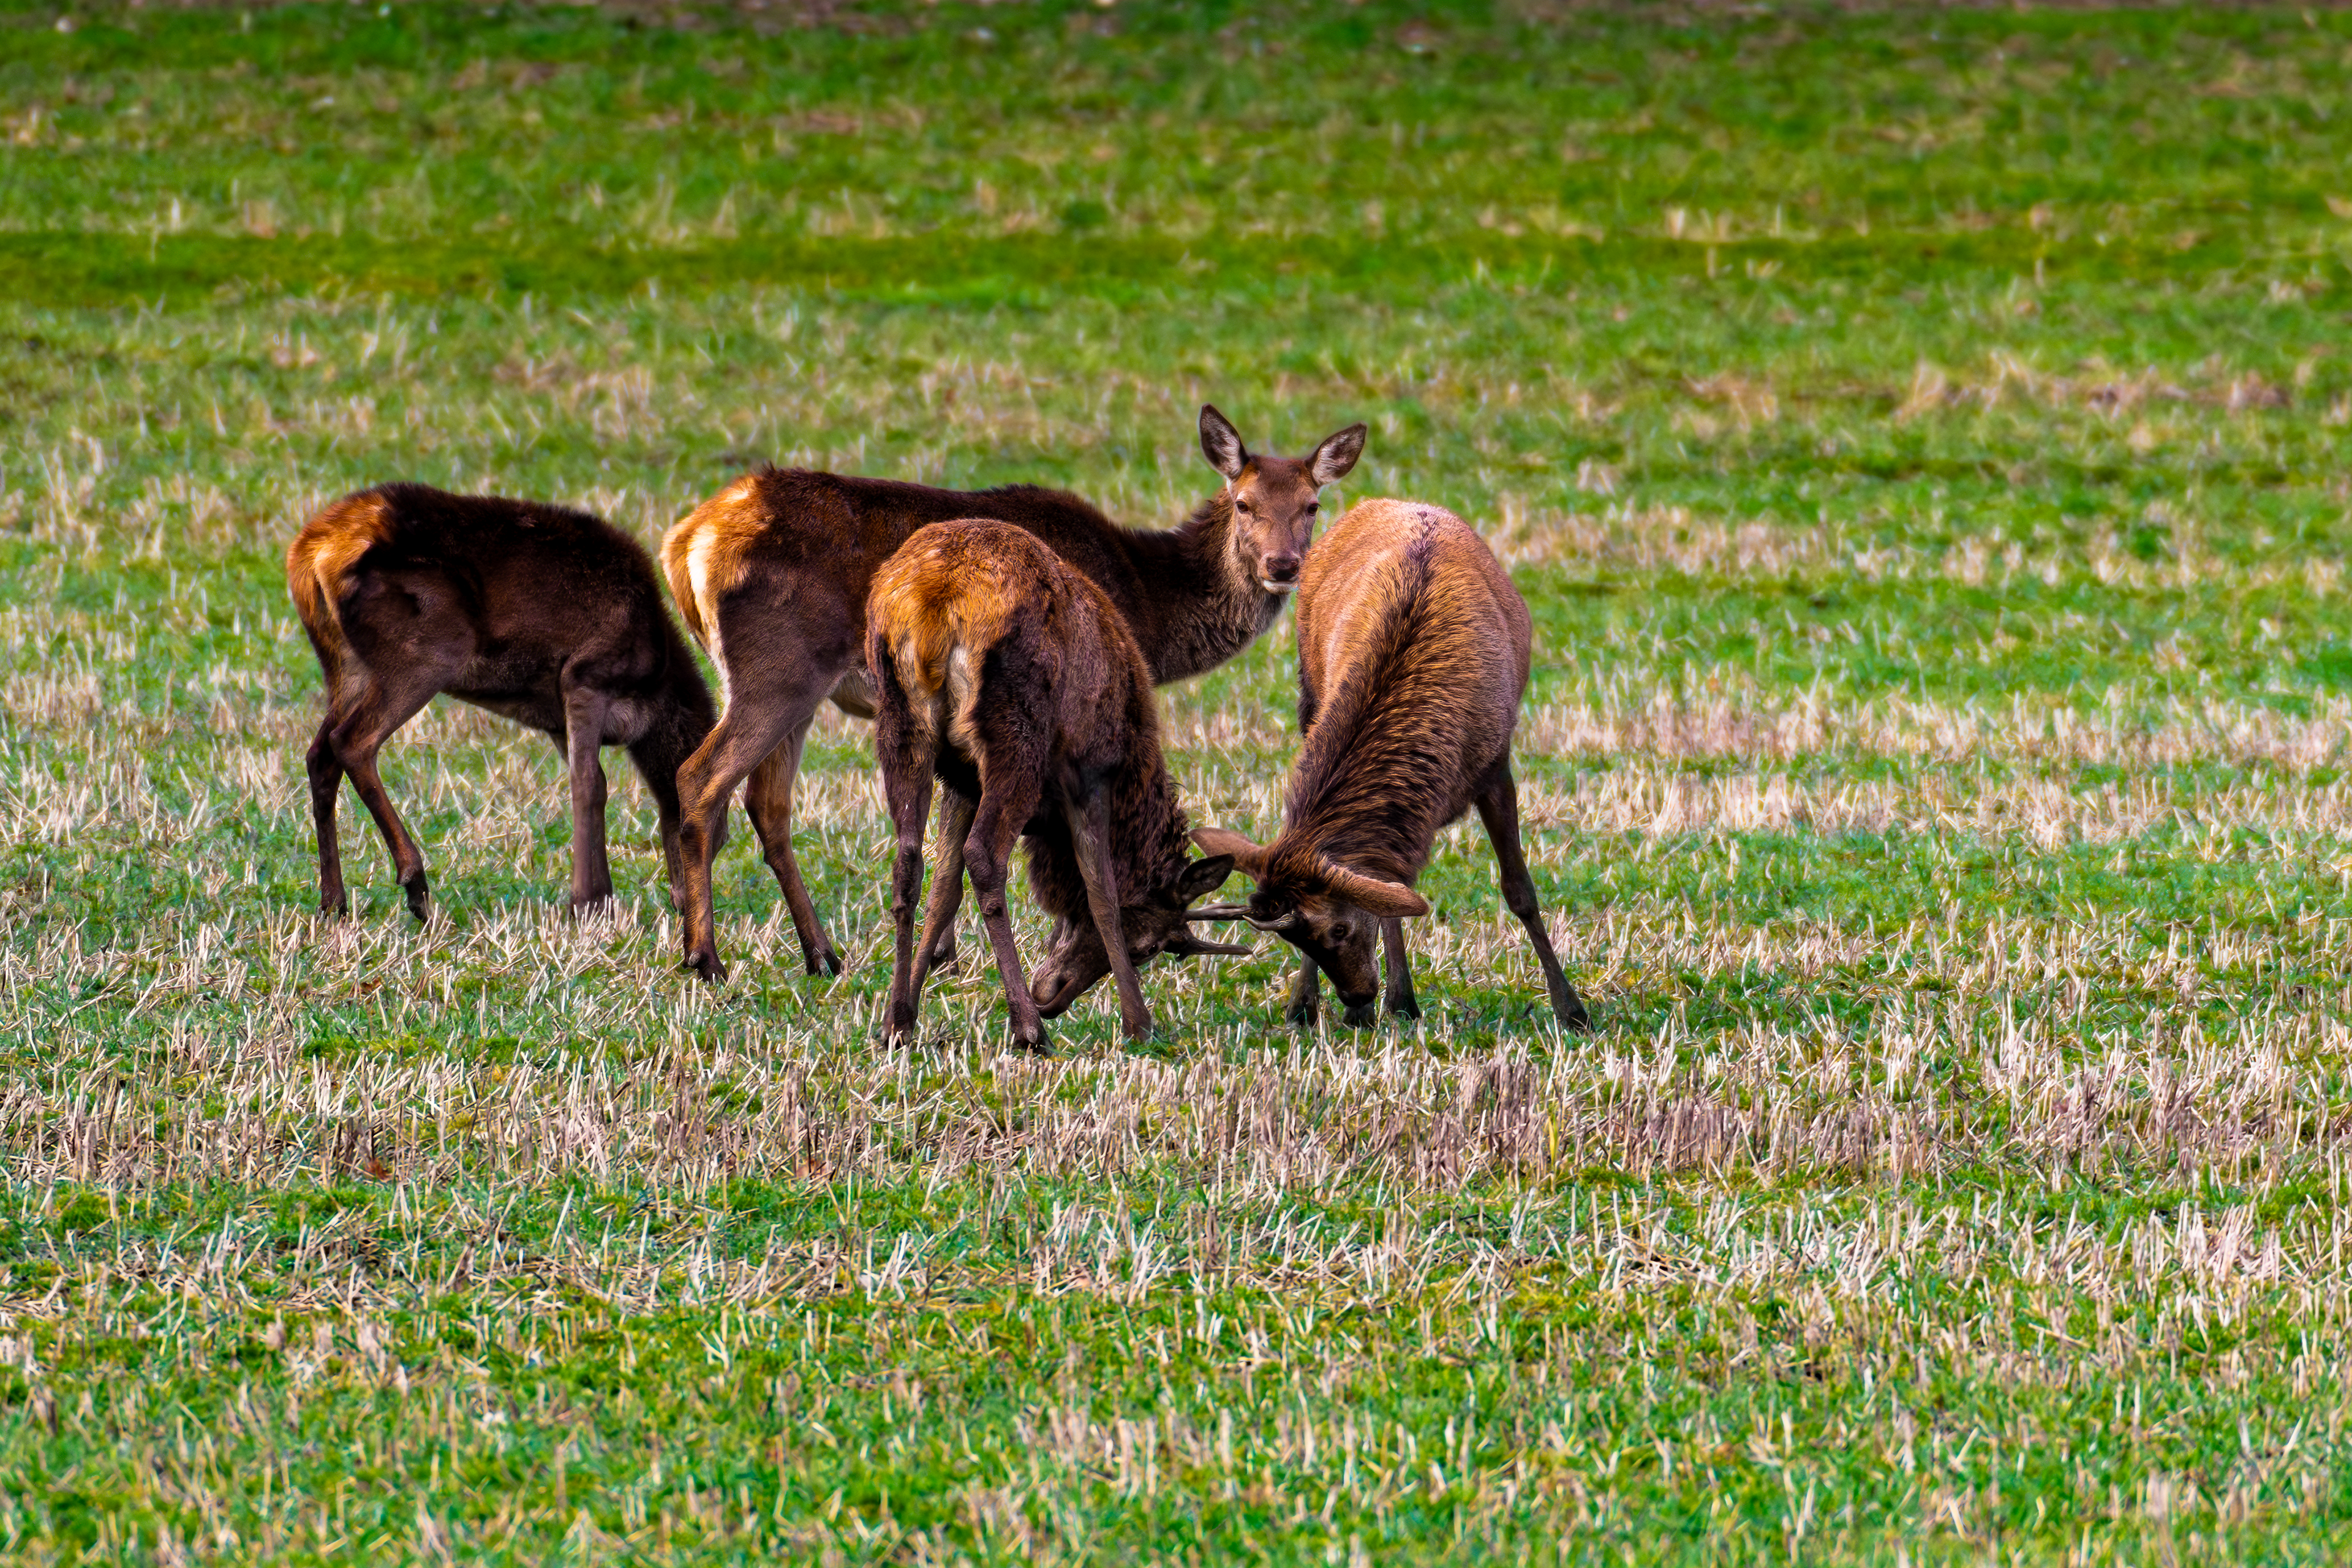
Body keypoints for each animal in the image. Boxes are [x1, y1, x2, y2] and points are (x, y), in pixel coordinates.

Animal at [287, 483, 719, 923]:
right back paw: (416, 885)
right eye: (717, 838)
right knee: (352, 741)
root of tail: (311, 552)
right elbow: (591, 785)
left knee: (319, 754)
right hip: (429, 648)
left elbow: (588, 779)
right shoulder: (586, 677)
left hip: (344, 663)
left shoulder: (555, 717)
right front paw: (589, 903)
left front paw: (596, 901)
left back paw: (333, 902)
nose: (689, 907)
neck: (655, 691)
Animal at [660, 404, 1366, 982]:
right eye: (1244, 503)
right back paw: (706, 957)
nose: (1283, 565)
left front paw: (942, 959)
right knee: (700, 776)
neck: (1146, 602)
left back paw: (821, 955)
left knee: (767, 803)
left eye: (1312, 505)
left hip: (799, 688)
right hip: (779, 666)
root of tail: (685, 542)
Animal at [868, 519, 1246, 1049]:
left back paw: (900, 1022)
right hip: (1015, 733)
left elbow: (944, 891)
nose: (1052, 996)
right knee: (984, 856)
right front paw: (1139, 1022)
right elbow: (1101, 892)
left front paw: (902, 1013)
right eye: (1149, 947)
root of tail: (936, 600)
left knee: (906, 858)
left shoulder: (961, 781)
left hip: (902, 724)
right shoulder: (1090, 772)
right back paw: (1027, 1029)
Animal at [1189, 499, 1590, 1033]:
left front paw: (1572, 1008)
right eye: (1291, 937)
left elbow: (1519, 890)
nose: (1356, 995)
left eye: (1340, 928)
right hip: (1307, 693)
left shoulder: (1496, 764)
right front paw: (1344, 1002)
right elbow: (1390, 891)